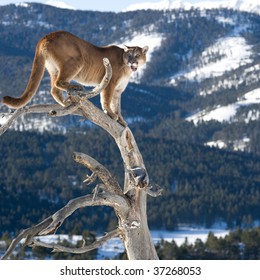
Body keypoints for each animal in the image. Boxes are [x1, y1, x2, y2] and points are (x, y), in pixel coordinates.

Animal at [2, 30, 149, 126]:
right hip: (77, 61)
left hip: (53, 68)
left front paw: (121, 120)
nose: (132, 62)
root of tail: (47, 35)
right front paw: (111, 114)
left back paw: (66, 103)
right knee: (58, 82)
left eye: (137, 55)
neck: (126, 68)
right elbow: (106, 100)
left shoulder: (118, 90)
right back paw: (75, 87)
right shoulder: (110, 83)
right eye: (129, 55)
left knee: (54, 89)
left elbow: (117, 105)